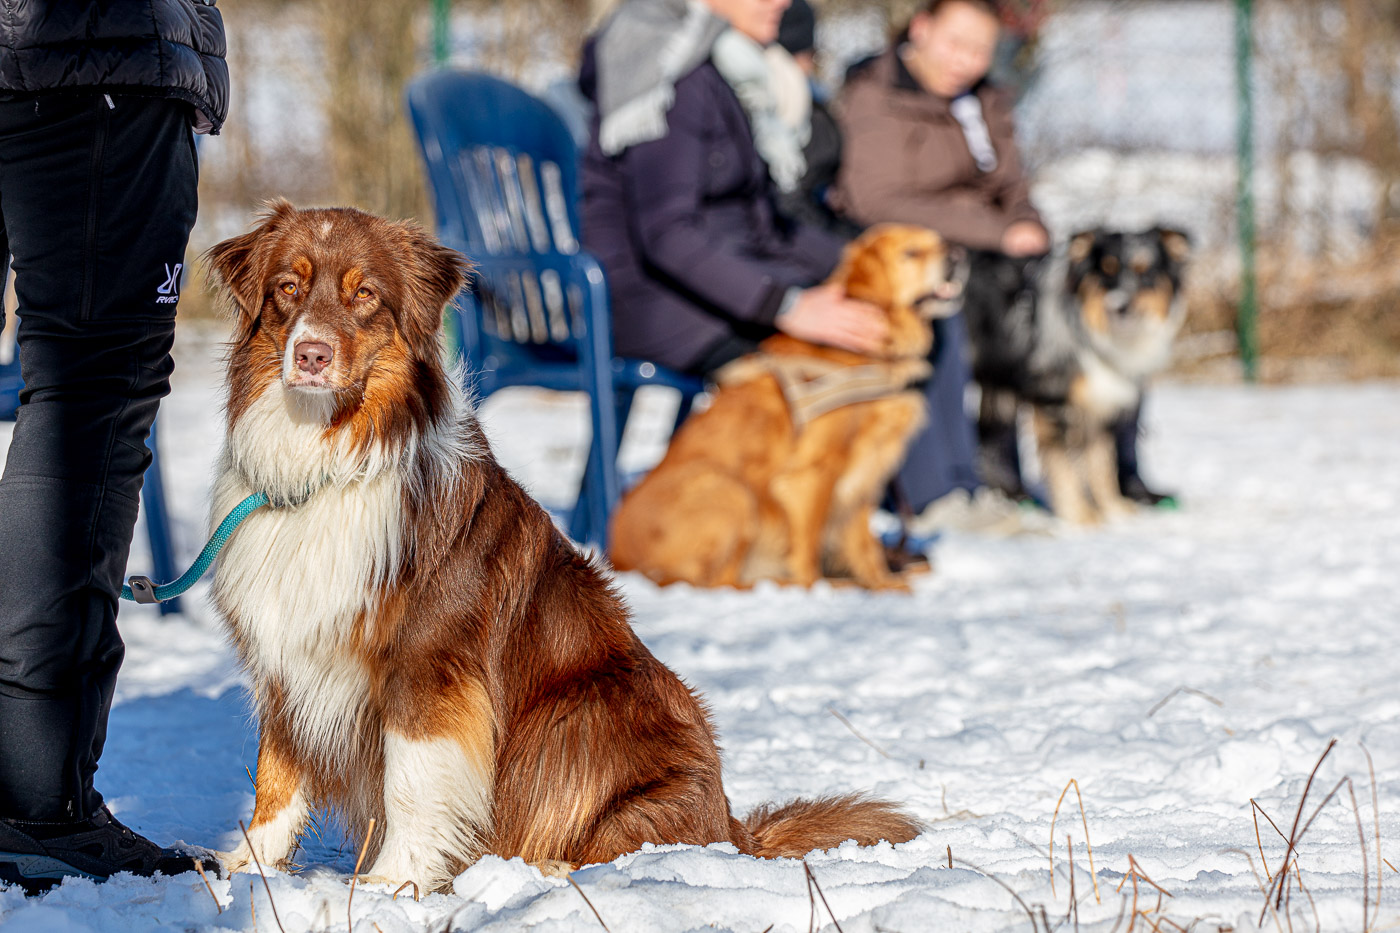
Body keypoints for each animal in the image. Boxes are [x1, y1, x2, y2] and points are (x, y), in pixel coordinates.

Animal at [613, 224, 963, 588]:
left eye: (939, 242)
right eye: (911, 253)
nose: (959, 256)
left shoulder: (868, 468)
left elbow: (862, 542)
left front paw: (882, 586)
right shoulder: (815, 470)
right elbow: (808, 544)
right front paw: (816, 589)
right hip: (730, 490)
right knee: (722, 582)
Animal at [963, 225, 1192, 523]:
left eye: (1145, 271)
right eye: (1107, 270)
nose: (1119, 306)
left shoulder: (1101, 403)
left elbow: (1101, 464)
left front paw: (1114, 510)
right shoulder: (1053, 401)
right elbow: (1065, 467)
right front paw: (1081, 517)